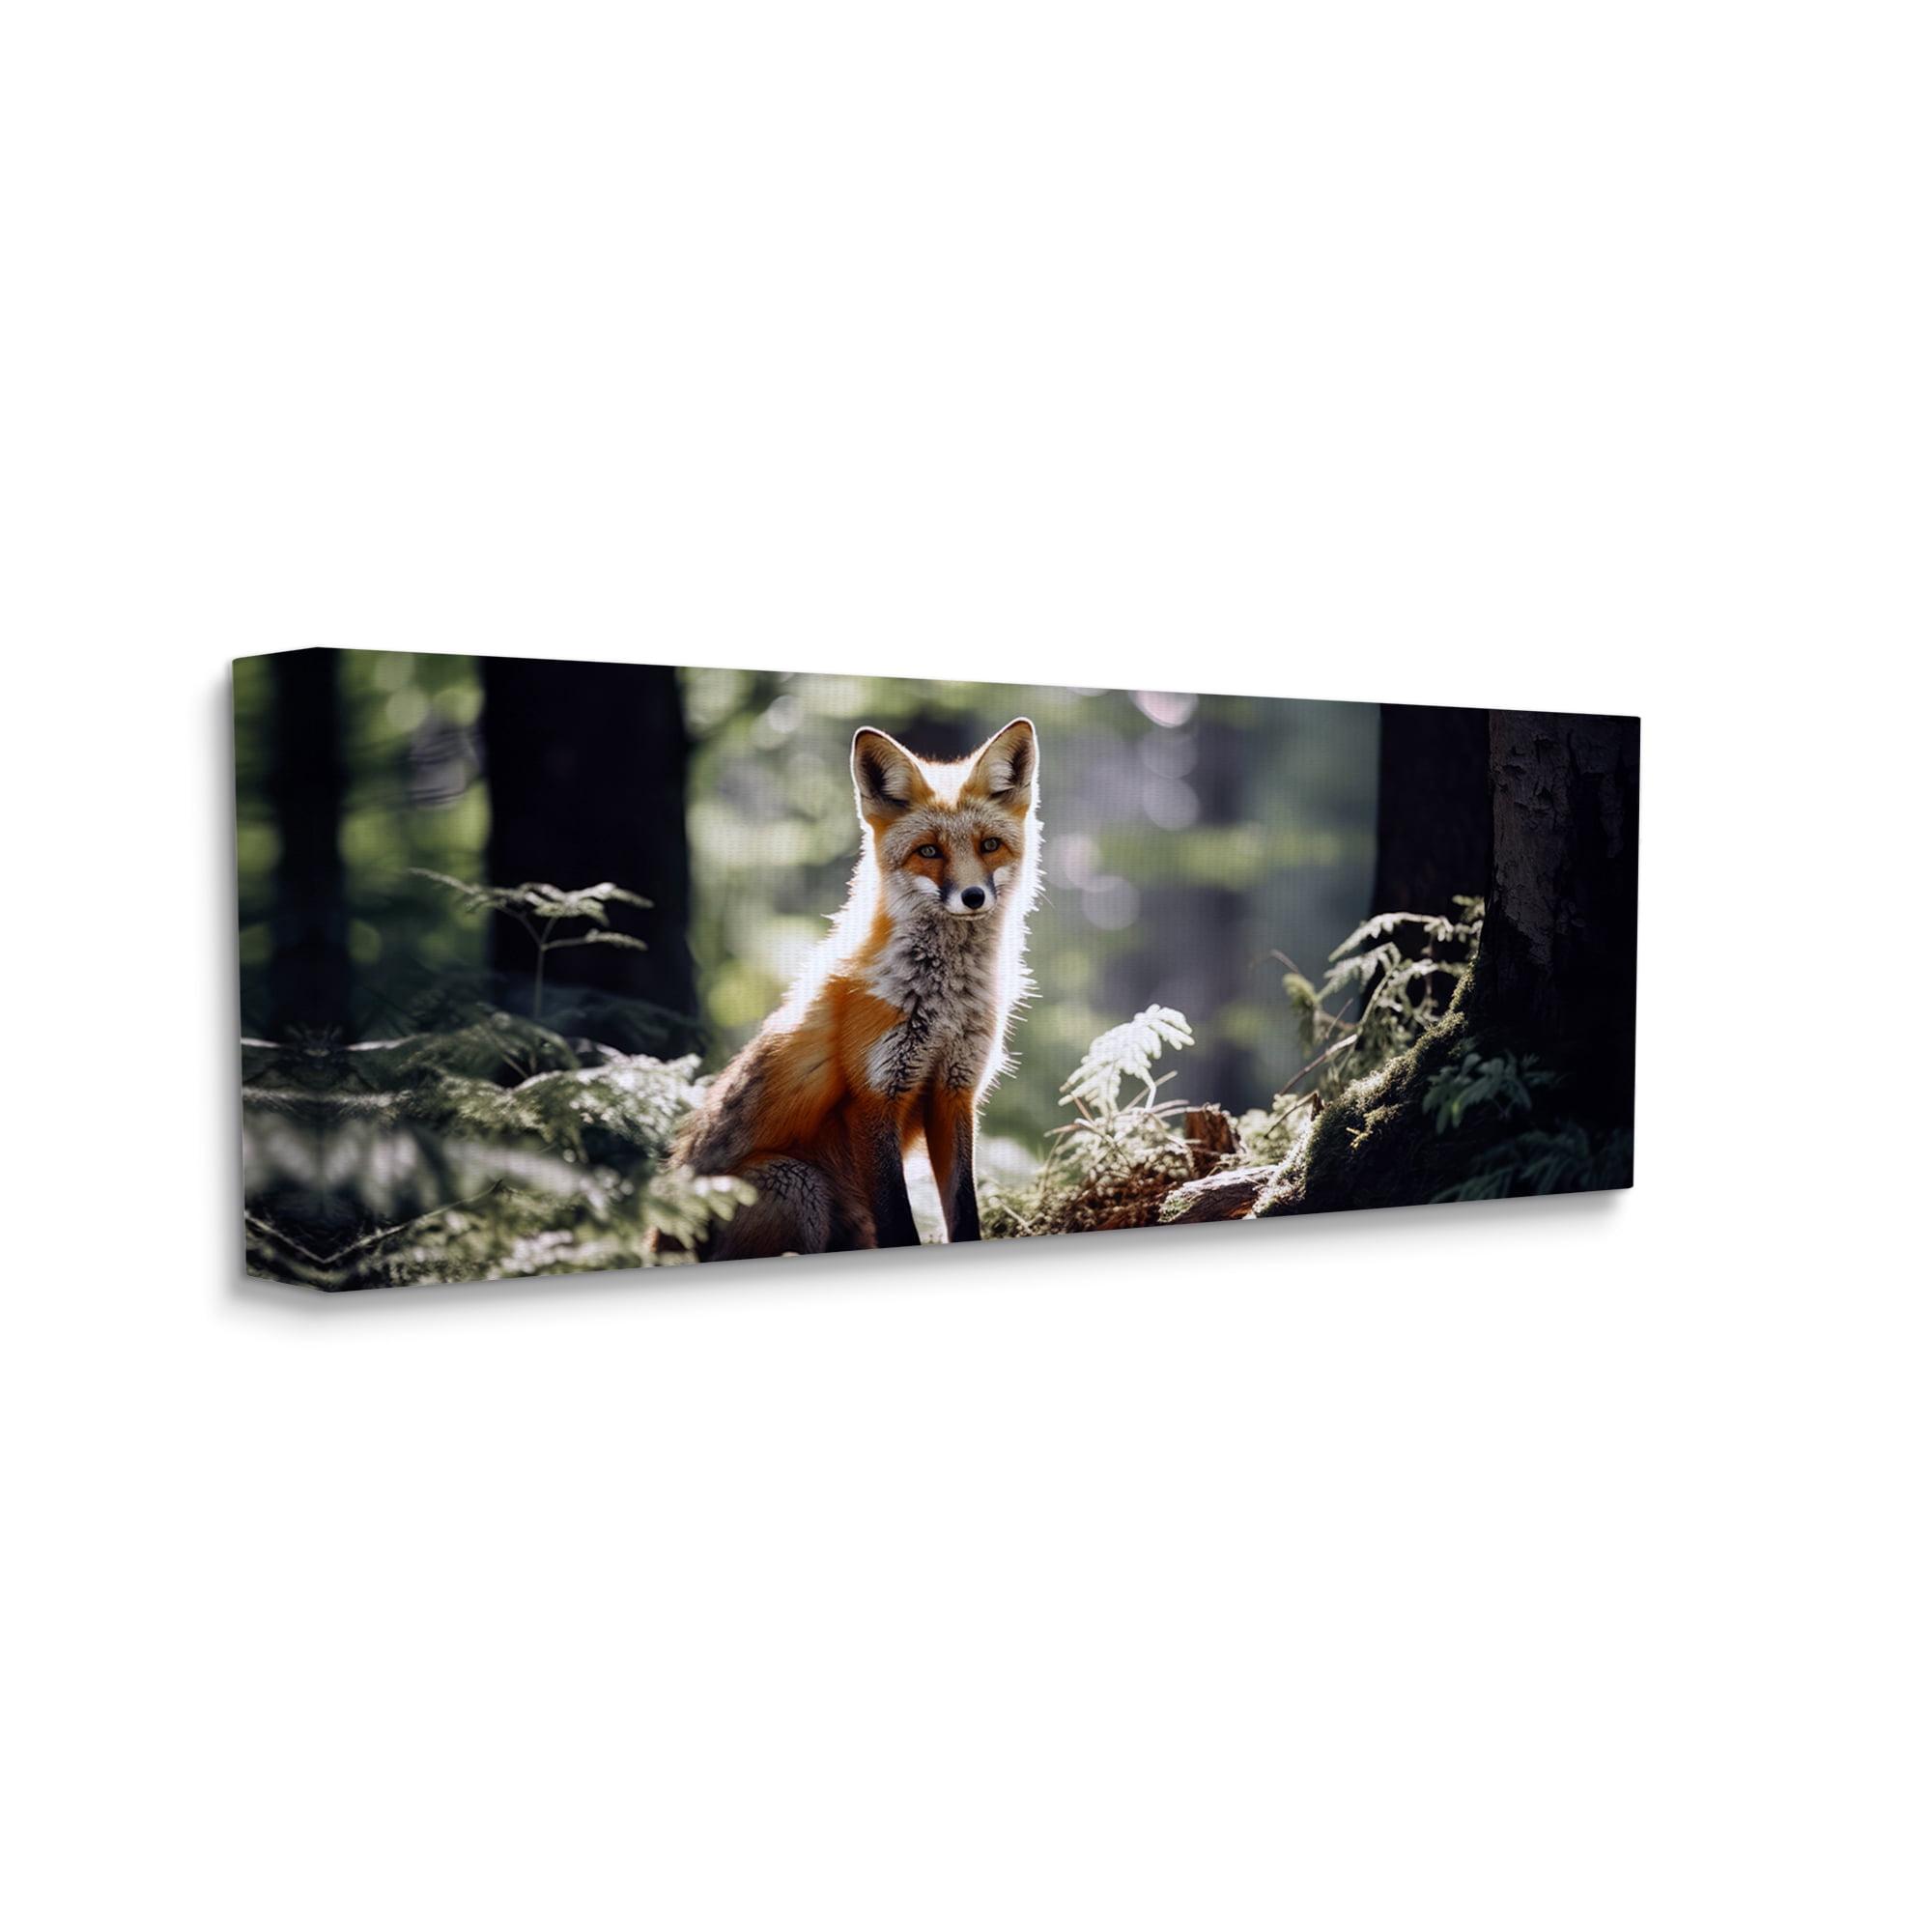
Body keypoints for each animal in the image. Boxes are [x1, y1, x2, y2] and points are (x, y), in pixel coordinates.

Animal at [669, 716, 1041, 1262]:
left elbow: (964, 1213)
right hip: (794, 1181)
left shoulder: (954, 1092)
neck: (944, 1001)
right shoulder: (874, 1096)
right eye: (929, 851)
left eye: (989, 845)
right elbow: (900, 1224)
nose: (973, 897)